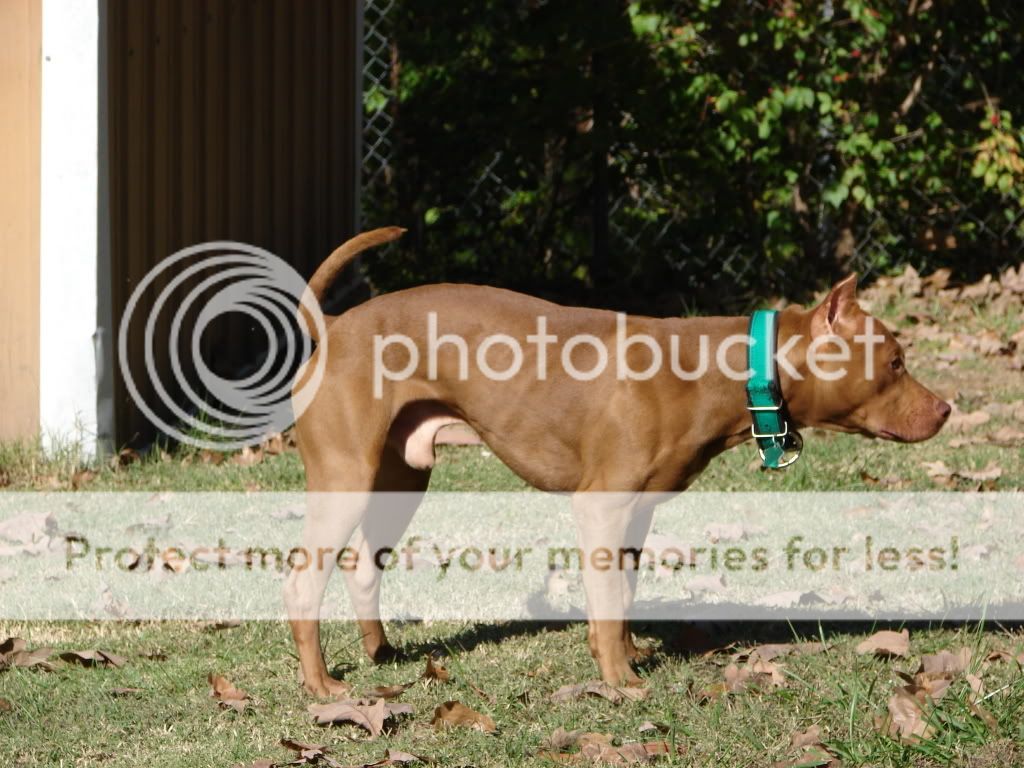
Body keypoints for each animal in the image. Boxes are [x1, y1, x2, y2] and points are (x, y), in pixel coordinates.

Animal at [282, 225, 950, 696]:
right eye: (895, 362)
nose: (946, 409)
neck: (727, 368)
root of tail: (336, 326)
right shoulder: (601, 508)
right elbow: (606, 603)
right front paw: (619, 682)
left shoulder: (637, 514)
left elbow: (621, 598)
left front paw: (626, 658)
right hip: (347, 479)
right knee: (303, 578)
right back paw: (321, 687)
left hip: (400, 480)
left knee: (361, 566)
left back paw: (382, 654)